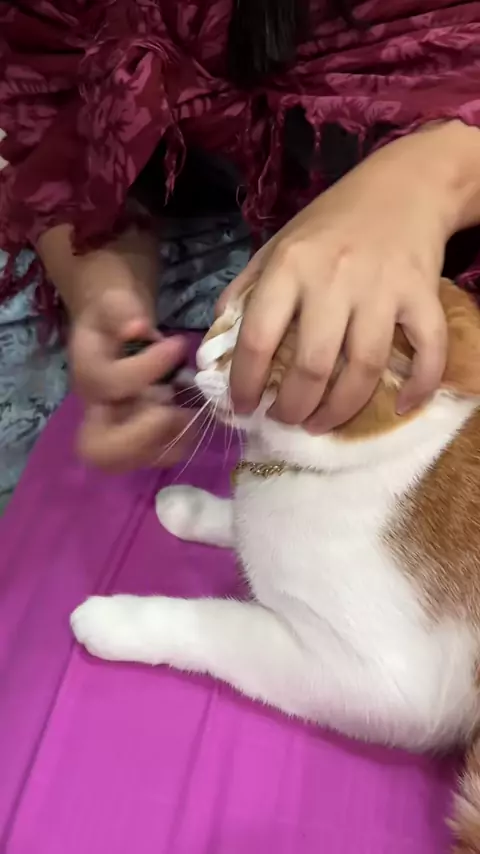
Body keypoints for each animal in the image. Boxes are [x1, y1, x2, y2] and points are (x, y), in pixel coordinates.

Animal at [71, 279, 480, 851]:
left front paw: (116, 619)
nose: (198, 353)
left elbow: (216, 623)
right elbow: (240, 524)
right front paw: (195, 508)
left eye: (252, 353)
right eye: (233, 312)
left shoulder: (392, 687)